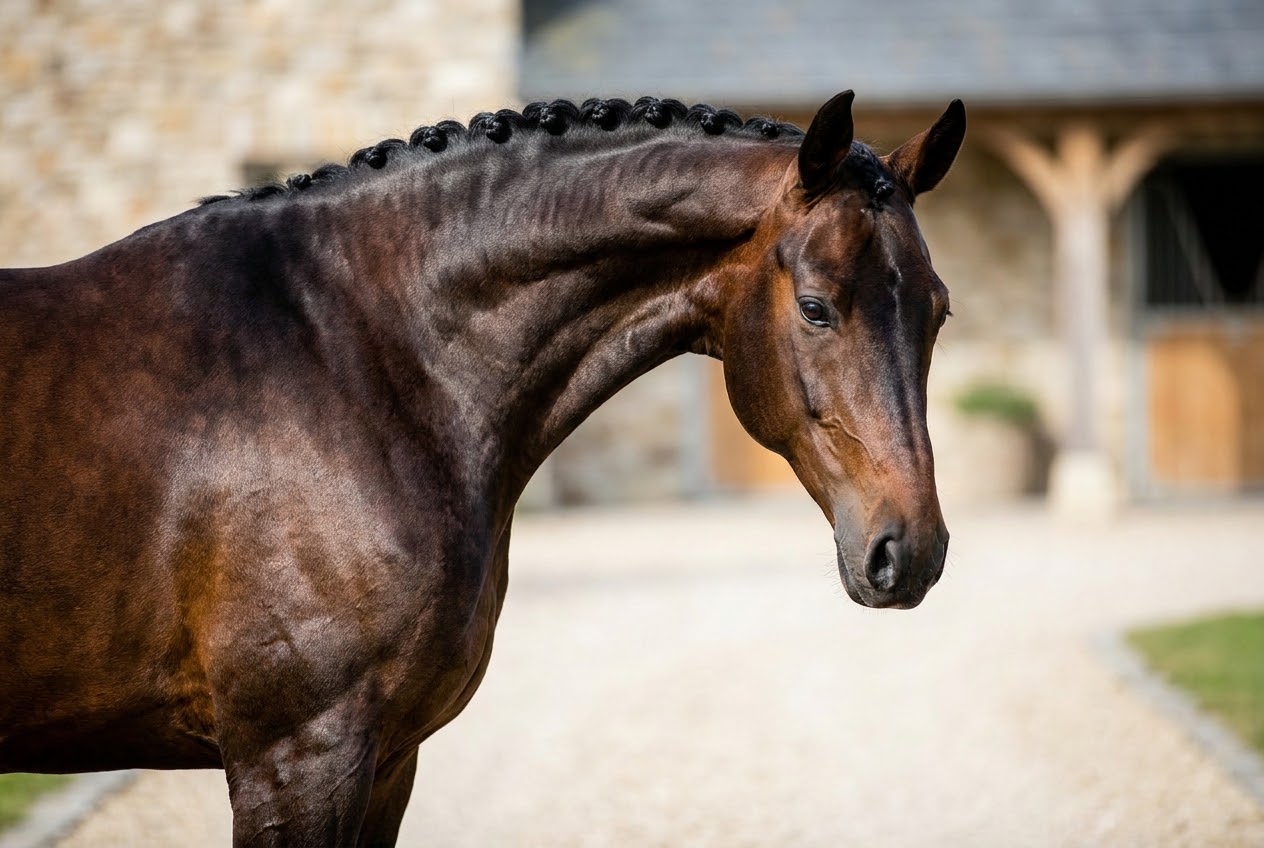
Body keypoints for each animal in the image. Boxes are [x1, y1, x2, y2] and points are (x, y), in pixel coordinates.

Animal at [0, 90, 963, 845]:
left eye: (939, 309)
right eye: (816, 307)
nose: (909, 551)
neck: (349, 354)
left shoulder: (388, 761)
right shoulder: (295, 757)